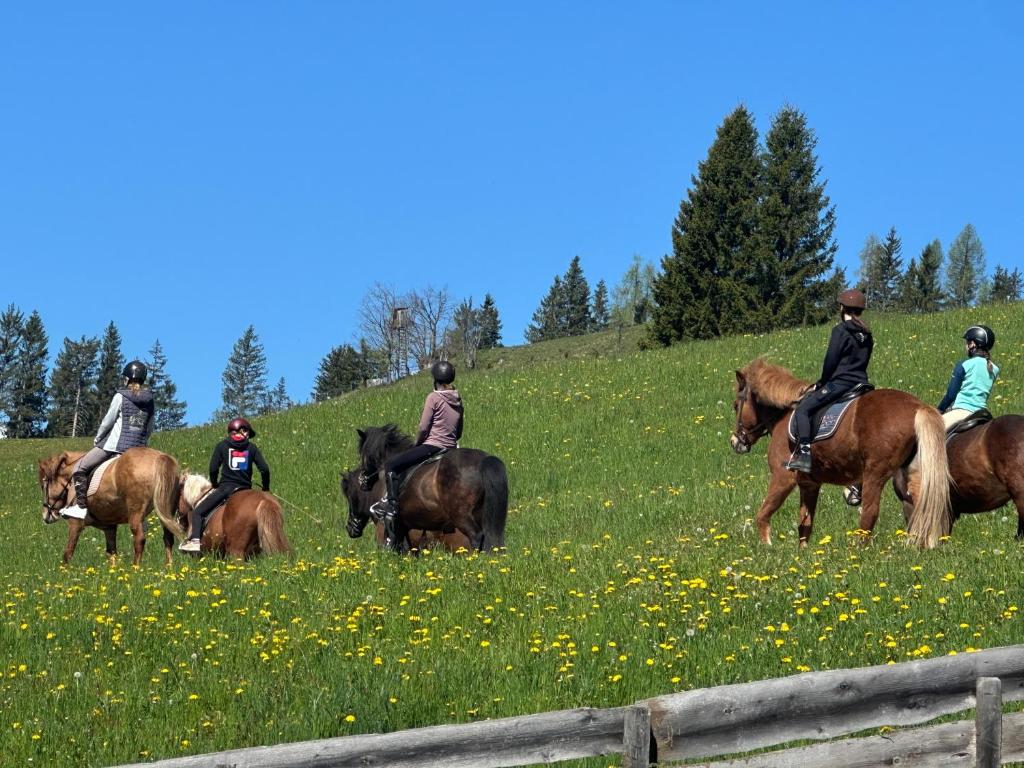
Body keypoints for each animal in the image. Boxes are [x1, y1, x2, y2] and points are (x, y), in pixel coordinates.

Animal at [37, 447, 183, 566]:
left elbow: (68, 553)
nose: (46, 516)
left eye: (43, 485)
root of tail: (158, 457)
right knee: (168, 537)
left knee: (140, 539)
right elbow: (111, 553)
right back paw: (169, 568)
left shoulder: (75, 524)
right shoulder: (109, 527)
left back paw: (135, 569)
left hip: (136, 512)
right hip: (164, 510)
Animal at [731, 358, 951, 549]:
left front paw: (767, 547)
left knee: (869, 514)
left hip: (875, 474)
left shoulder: (783, 477)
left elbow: (763, 515)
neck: (783, 417)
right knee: (921, 506)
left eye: (735, 406)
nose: (734, 442)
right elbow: (805, 523)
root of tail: (917, 407)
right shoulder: (809, 484)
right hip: (910, 473)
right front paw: (802, 555)